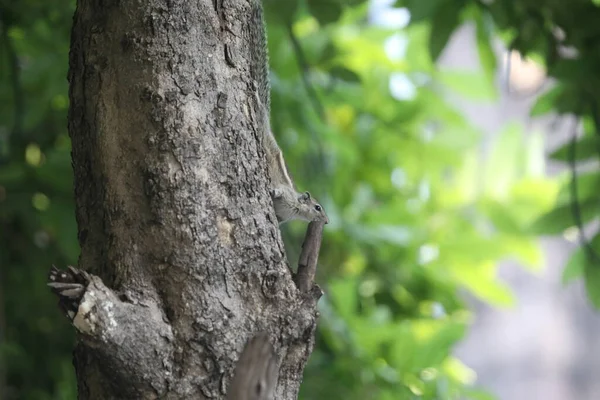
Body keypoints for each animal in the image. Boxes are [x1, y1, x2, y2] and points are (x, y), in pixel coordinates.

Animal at [250, 0, 330, 225]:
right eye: (317, 207)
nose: (326, 221)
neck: (295, 210)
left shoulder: (283, 217)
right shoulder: (286, 194)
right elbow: (279, 191)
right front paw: (272, 190)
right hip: (262, 127)